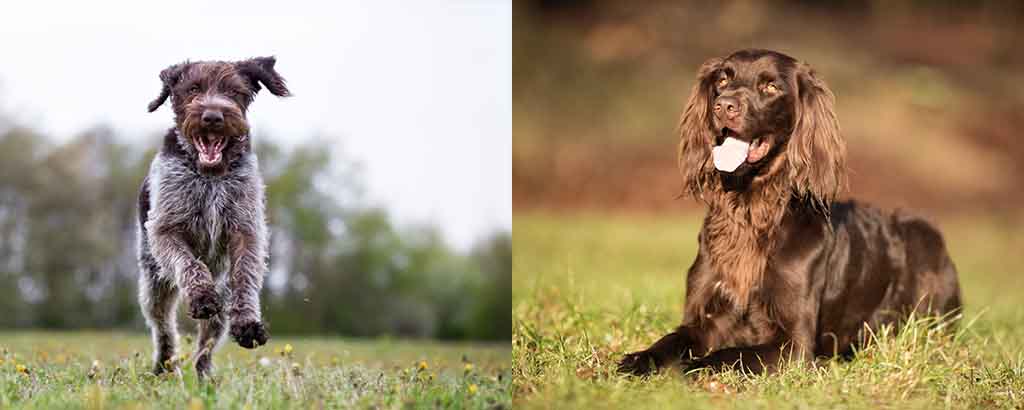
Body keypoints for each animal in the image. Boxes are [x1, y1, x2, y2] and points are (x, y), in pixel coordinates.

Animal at [135, 55, 288, 377]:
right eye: (193, 89)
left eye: (233, 91)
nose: (213, 116)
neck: (210, 177)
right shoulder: (165, 231)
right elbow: (189, 264)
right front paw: (202, 296)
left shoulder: (246, 229)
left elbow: (245, 275)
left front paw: (248, 324)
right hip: (154, 283)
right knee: (163, 327)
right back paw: (164, 367)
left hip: (219, 301)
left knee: (206, 341)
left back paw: (204, 376)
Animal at [618, 49, 962, 377]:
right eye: (723, 80)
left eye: (770, 87)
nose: (723, 106)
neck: (751, 213)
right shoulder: (705, 318)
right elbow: (670, 341)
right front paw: (638, 360)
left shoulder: (794, 345)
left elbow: (728, 355)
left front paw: (690, 368)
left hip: (923, 232)